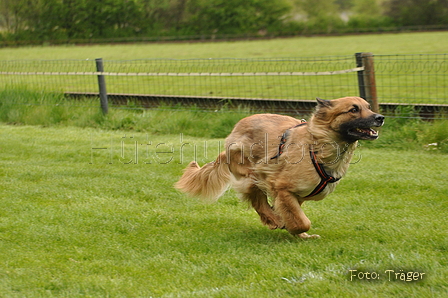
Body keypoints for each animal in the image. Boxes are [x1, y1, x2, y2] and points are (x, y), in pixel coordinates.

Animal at [173, 96, 384, 239]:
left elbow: (294, 214)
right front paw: (293, 228)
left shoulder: (295, 195)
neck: (317, 146)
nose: (380, 117)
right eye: (353, 109)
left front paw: (300, 235)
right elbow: (301, 222)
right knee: (258, 202)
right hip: (253, 174)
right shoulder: (281, 186)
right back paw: (274, 219)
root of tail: (233, 134)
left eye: (368, 107)